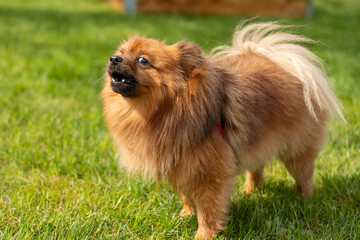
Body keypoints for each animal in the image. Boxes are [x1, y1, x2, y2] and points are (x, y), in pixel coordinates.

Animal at [101, 22, 344, 238]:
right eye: (120, 53)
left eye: (142, 60)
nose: (113, 59)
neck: (166, 109)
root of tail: (287, 65)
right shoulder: (180, 162)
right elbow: (186, 195)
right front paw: (185, 215)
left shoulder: (209, 173)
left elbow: (208, 210)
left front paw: (204, 234)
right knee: (256, 169)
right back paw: (251, 191)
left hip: (297, 149)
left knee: (304, 175)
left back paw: (304, 199)